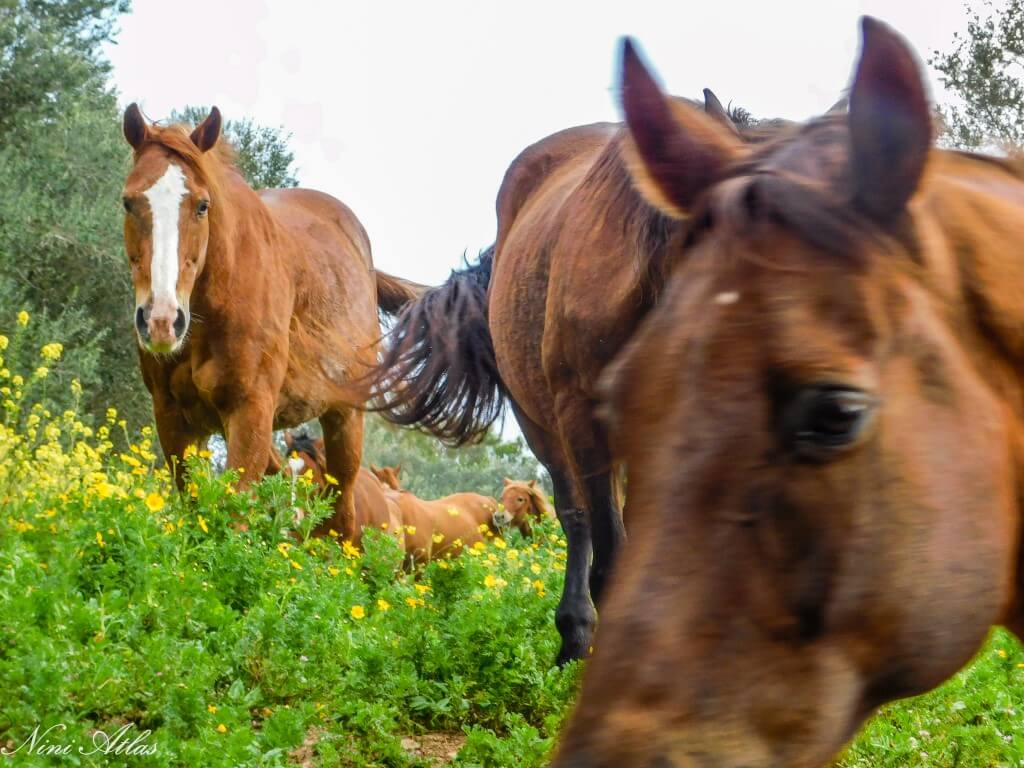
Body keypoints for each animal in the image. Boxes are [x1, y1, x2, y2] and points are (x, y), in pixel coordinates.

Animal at [120, 105, 419, 540]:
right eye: (129, 203)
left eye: (202, 206)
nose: (161, 320)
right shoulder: (173, 417)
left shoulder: (251, 411)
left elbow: (232, 518)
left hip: (344, 422)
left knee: (341, 519)